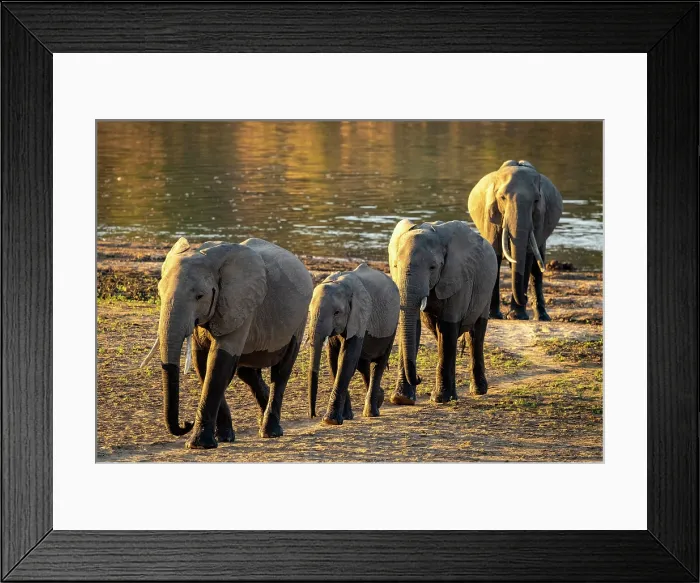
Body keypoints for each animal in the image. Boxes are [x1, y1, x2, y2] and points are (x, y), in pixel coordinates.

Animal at [141, 237, 313, 449]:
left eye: (200, 296)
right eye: (159, 293)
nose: (186, 423)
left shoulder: (239, 302)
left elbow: (218, 363)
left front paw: (199, 444)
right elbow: (202, 364)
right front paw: (223, 438)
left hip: (299, 319)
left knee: (281, 370)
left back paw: (270, 432)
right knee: (246, 371)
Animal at [307, 263, 400, 424]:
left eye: (337, 312)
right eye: (309, 311)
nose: (313, 415)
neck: (340, 284)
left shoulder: (359, 315)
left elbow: (346, 359)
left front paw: (330, 420)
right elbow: (334, 359)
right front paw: (344, 417)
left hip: (392, 326)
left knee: (378, 364)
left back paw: (371, 412)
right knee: (363, 365)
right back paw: (379, 399)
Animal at [388, 219, 498, 405]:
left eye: (433, 267)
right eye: (395, 265)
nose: (418, 378)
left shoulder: (458, 278)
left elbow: (447, 328)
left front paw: (440, 399)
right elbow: (413, 327)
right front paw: (401, 399)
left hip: (487, 288)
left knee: (475, 334)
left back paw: (478, 390)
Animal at [467, 160, 563, 321]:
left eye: (536, 200)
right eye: (502, 198)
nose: (525, 297)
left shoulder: (539, 217)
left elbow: (528, 255)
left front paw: (517, 316)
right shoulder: (491, 215)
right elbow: (495, 253)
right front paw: (494, 316)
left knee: (537, 264)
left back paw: (542, 317)